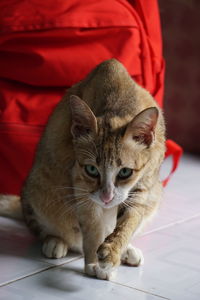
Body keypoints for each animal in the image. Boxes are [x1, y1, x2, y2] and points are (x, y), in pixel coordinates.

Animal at [0, 58, 166, 278]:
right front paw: (94, 262)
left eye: (125, 172)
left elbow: (128, 221)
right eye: (92, 170)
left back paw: (127, 251)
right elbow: (92, 226)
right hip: (38, 187)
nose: (106, 197)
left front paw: (114, 250)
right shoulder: (80, 183)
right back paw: (55, 241)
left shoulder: (143, 187)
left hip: (156, 194)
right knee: (41, 226)